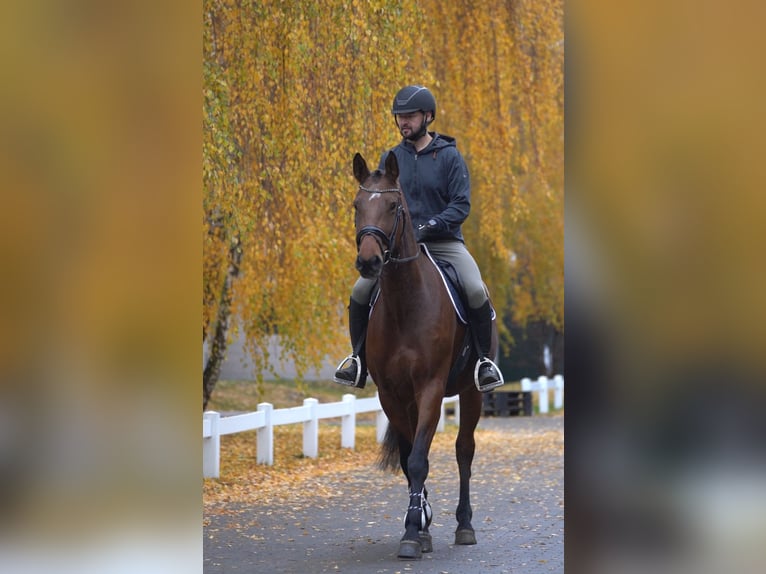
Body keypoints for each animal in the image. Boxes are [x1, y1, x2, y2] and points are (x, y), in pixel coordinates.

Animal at [352, 151, 498, 560]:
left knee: (464, 451)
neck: (405, 303)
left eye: (393, 206)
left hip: (471, 392)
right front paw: (419, 524)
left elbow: (419, 460)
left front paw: (412, 534)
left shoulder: (431, 387)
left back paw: (465, 526)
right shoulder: (391, 394)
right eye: (356, 205)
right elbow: (409, 460)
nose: (368, 263)